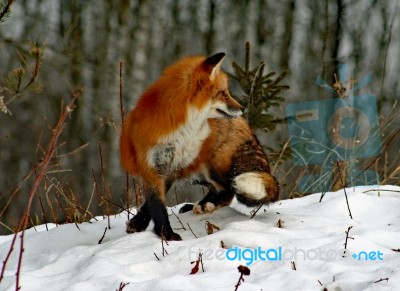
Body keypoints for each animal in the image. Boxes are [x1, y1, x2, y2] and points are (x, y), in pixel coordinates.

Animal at [120, 53, 280, 242]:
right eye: (222, 93)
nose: (243, 108)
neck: (180, 128)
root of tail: (245, 126)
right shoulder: (152, 164)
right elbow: (155, 204)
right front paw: (159, 231)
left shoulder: (174, 165)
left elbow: (155, 203)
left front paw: (162, 233)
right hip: (195, 171)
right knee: (220, 188)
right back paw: (199, 205)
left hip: (211, 165)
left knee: (228, 189)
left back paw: (205, 205)